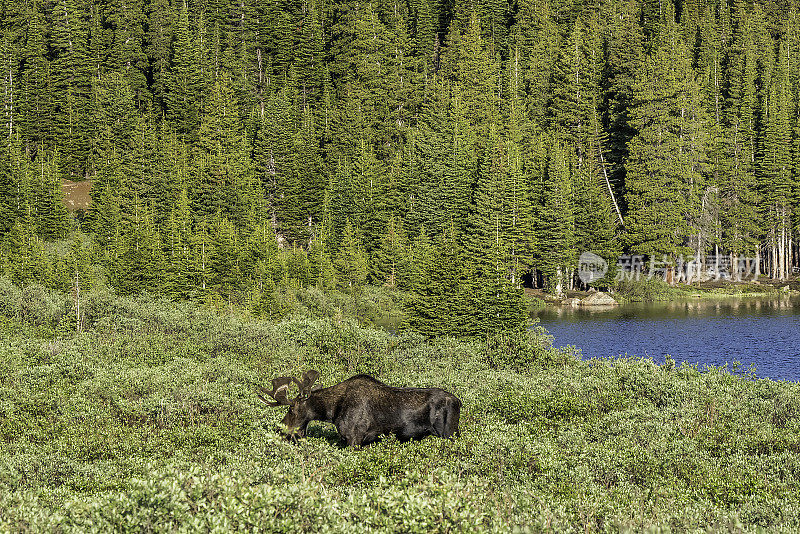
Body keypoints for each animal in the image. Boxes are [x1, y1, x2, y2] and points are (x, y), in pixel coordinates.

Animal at [258, 372, 462, 448]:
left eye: (291, 408)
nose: (280, 429)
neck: (331, 411)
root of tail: (459, 402)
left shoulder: (354, 438)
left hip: (448, 433)